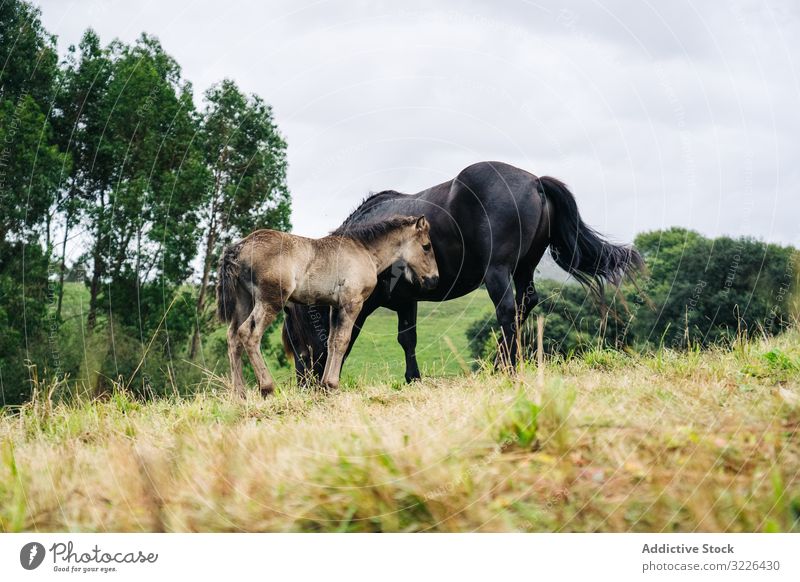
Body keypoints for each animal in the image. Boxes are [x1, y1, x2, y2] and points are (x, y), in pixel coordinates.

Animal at [282, 162, 644, 386]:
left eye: (297, 340)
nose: (305, 384)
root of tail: (535, 182)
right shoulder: (407, 299)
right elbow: (407, 338)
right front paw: (413, 377)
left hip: (497, 272)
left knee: (507, 311)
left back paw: (507, 368)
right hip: (524, 268)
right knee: (525, 303)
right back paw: (500, 362)